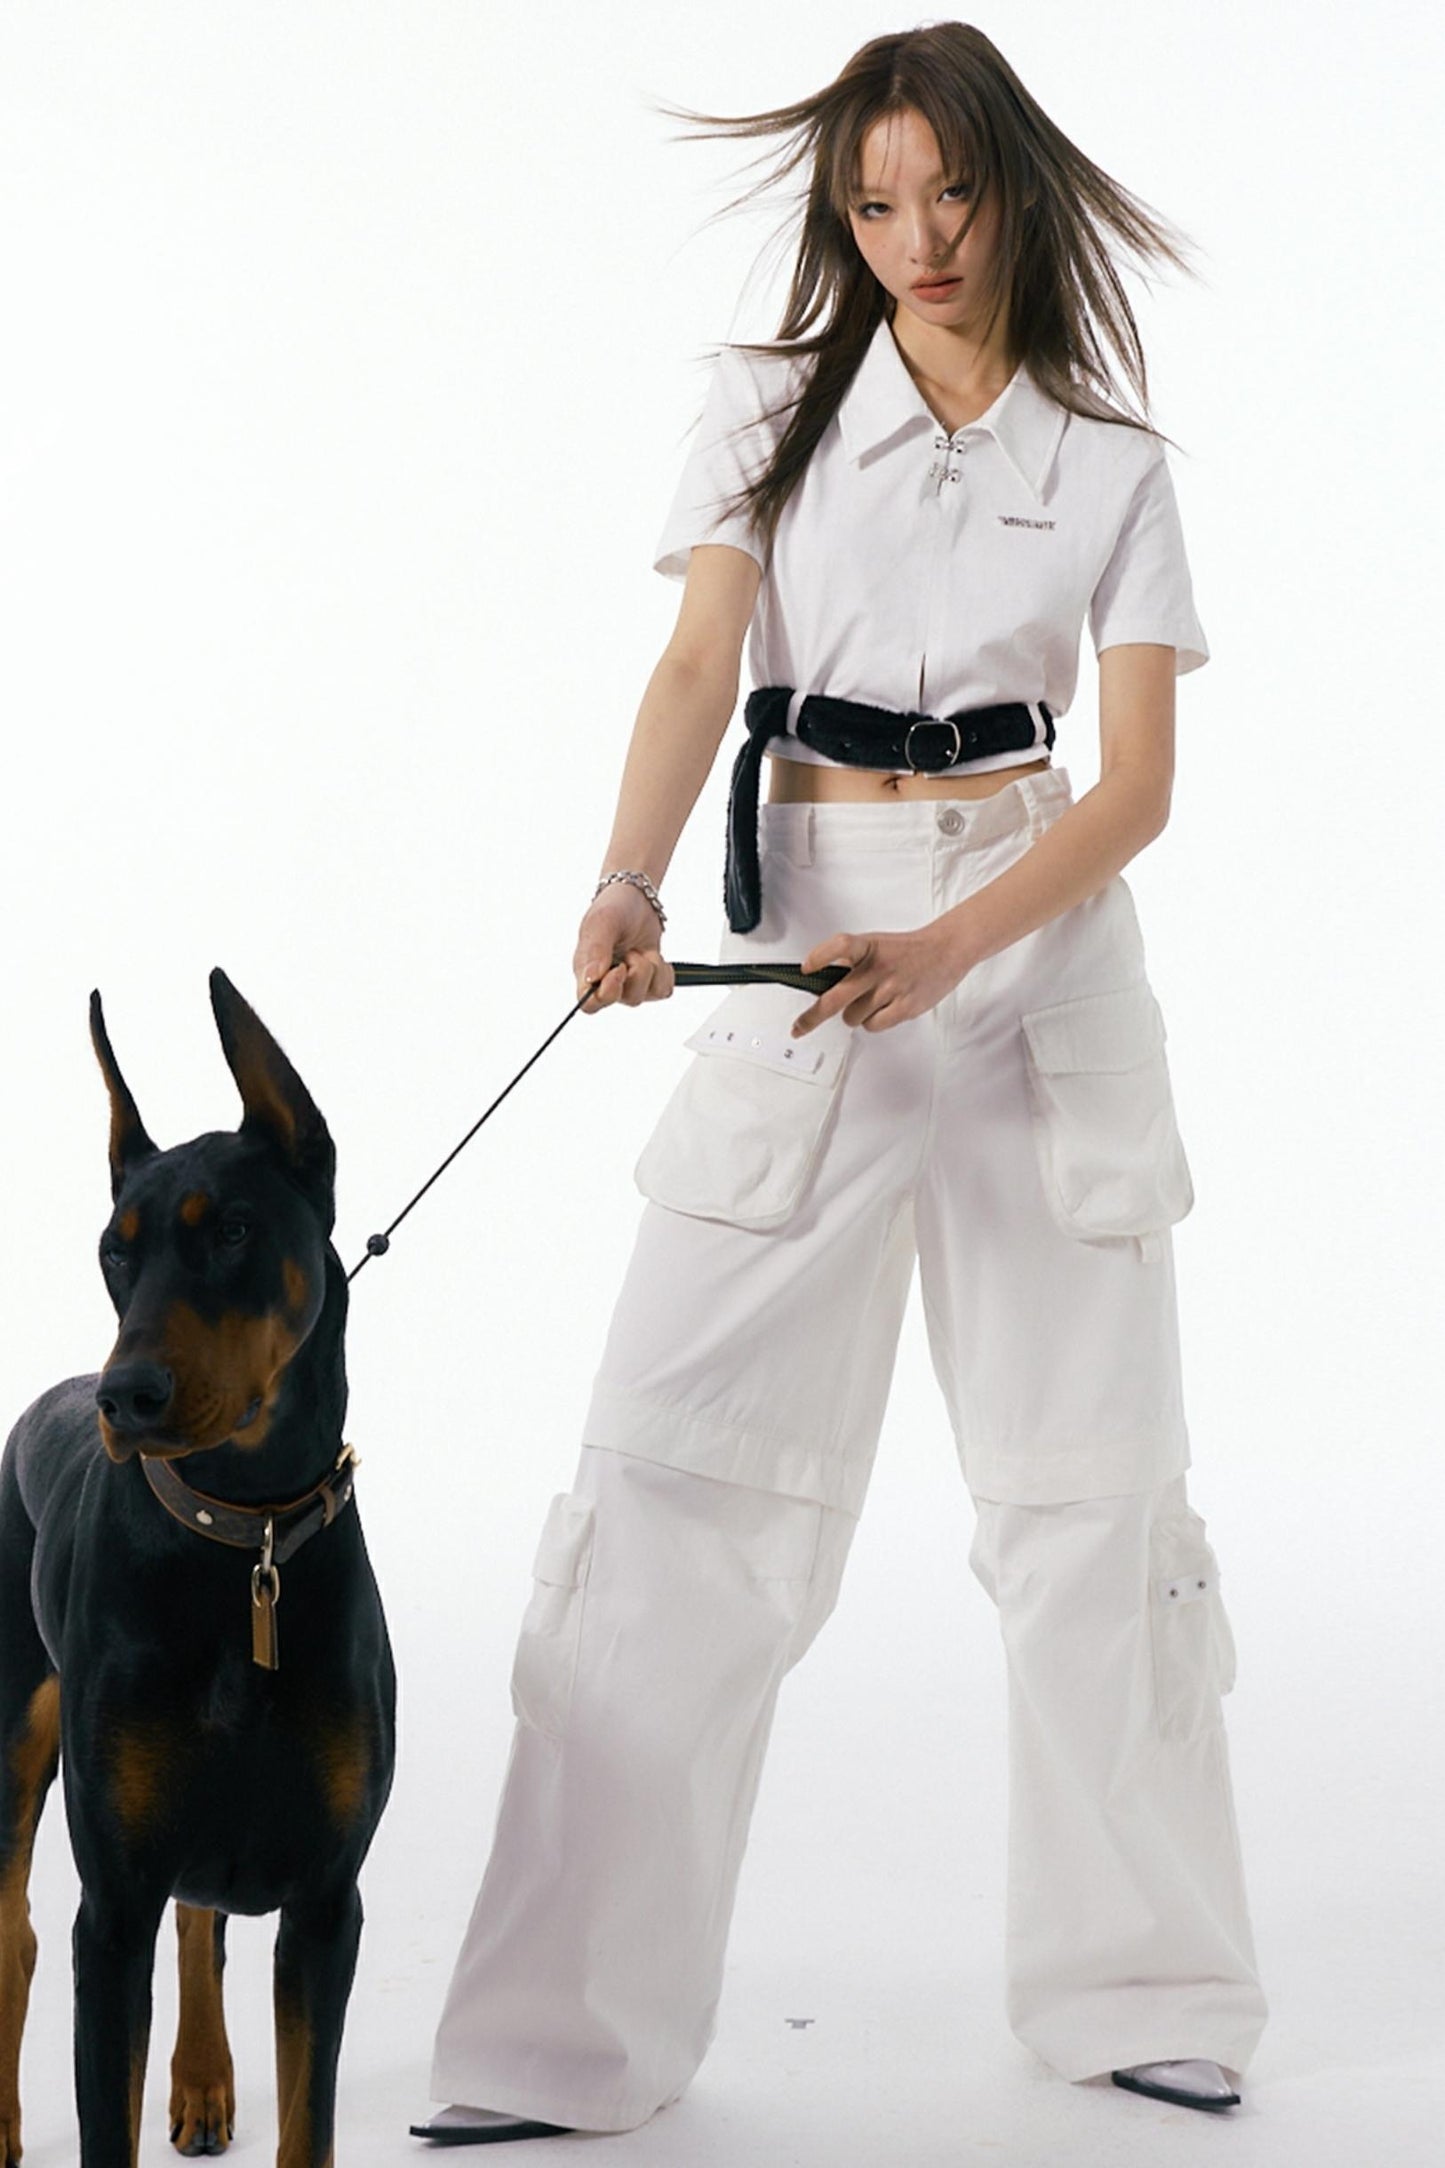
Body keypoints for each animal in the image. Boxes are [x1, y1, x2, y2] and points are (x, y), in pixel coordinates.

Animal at [0, 969, 395, 2166]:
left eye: (228, 1228)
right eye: (113, 1250)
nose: (125, 1397)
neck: (241, 1537)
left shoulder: (328, 1903)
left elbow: (308, 2121)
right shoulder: (111, 1907)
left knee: (201, 1916)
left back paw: (205, 2078)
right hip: (15, 1735)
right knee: (14, 1927)